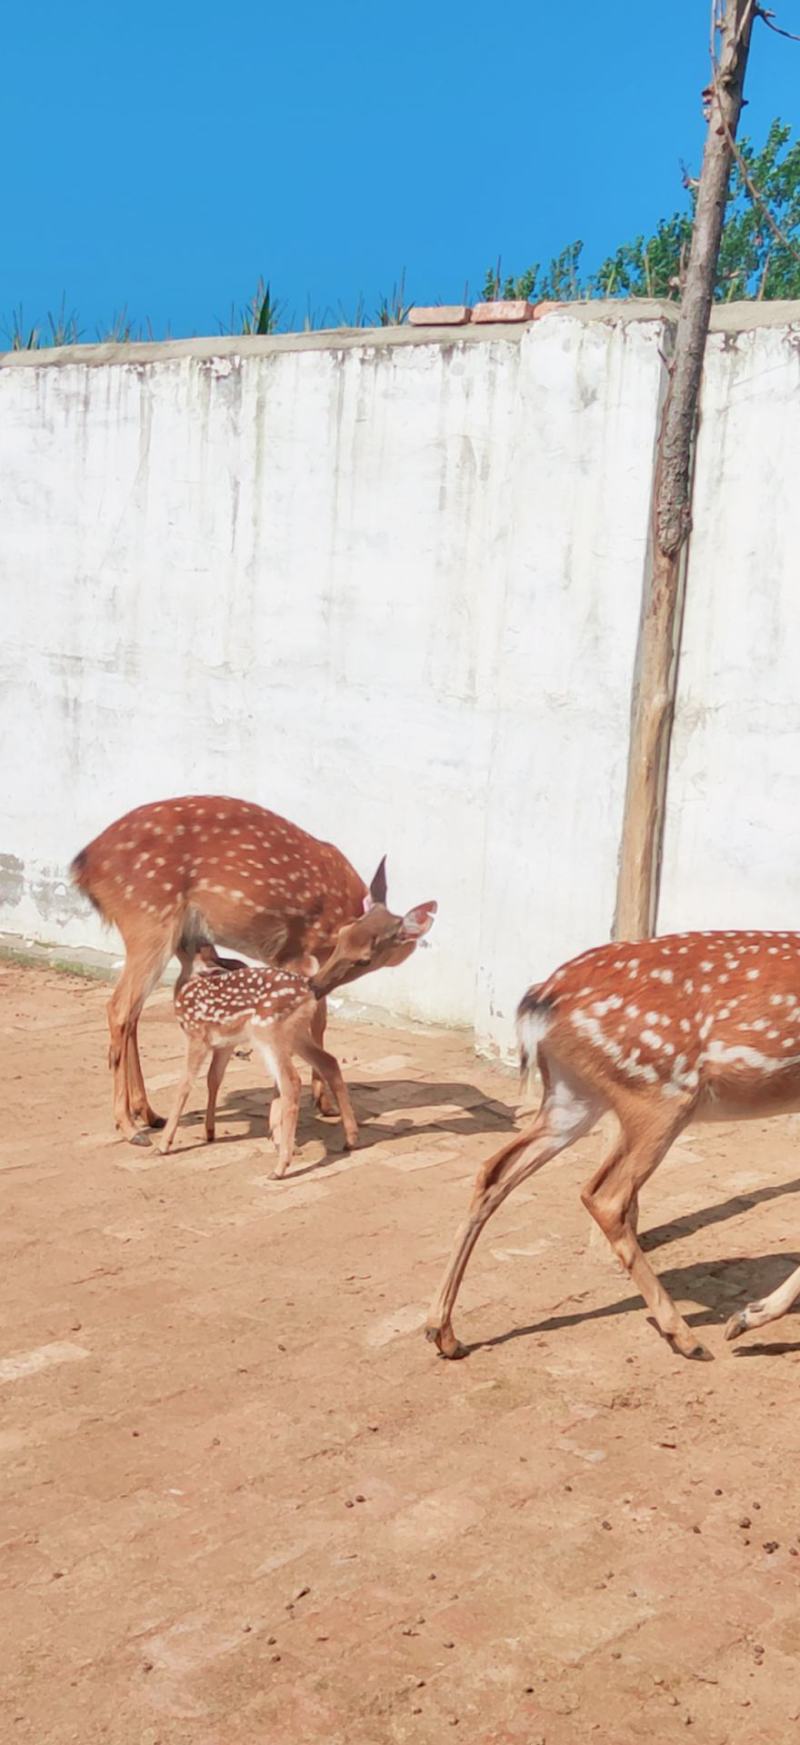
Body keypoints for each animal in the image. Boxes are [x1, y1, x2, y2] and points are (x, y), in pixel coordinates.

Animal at [70, 796, 436, 1145]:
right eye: (348, 943)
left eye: (362, 954)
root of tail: (83, 867)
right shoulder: (296, 952)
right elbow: (308, 1019)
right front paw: (288, 1118)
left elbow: (319, 1020)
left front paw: (323, 1103)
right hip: (149, 919)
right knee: (119, 1008)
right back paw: (130, 1127)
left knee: (133, 1013)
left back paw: (148, 1112)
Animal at [160, 947, 359, 1174]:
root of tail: (307, 990)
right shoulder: (225, 1044)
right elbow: (214, 1079)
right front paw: (209, 1132)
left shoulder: (197, 1036)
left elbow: (184, 1084)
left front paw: (164, 1144)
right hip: (296, 1033)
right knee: (329, 1062)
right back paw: (350, 1139)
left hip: (269, 1031)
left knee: (292, 1081)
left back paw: (281, 1167)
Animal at [426, 929, 800, 1363]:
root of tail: (541, 998)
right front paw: (747, 1318)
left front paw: (749, 1315)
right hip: (661, 1093)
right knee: (604, 1194)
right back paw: (684, 1336)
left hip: (572, 1096)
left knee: (495, 1170)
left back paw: (443, 1333)